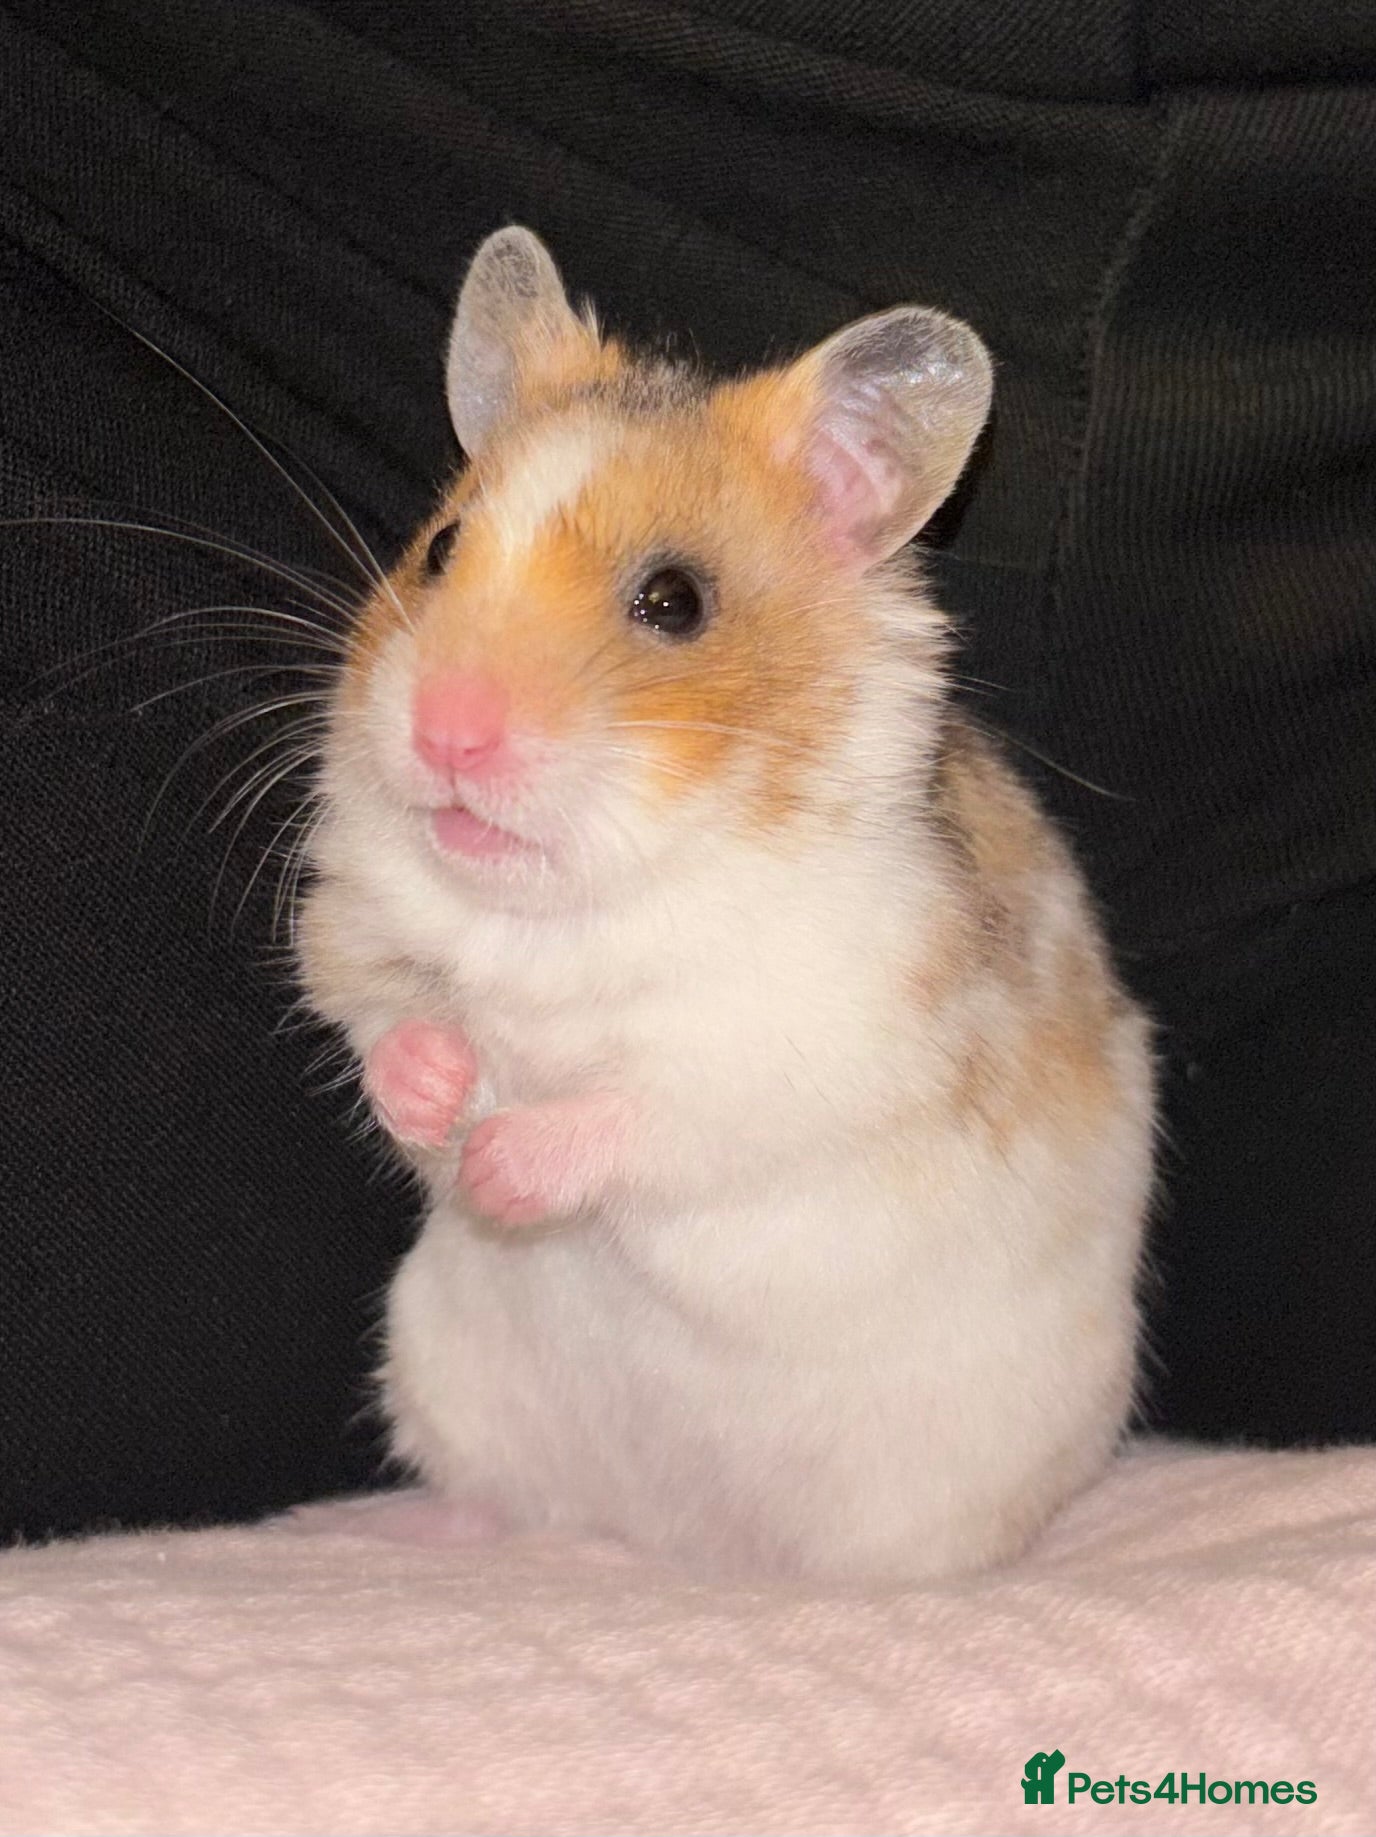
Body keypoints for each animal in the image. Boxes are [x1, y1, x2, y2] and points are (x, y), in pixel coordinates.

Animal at [296, 226, 1155, 1583]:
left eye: (675, 602)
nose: (444, 734)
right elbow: (389, 1028)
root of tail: (680, 1538)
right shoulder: (353, 940)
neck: (570, 899)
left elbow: (638, 1113)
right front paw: (442, 1097)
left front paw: (496, 1163)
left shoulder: (792, 1054)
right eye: (437, 549)